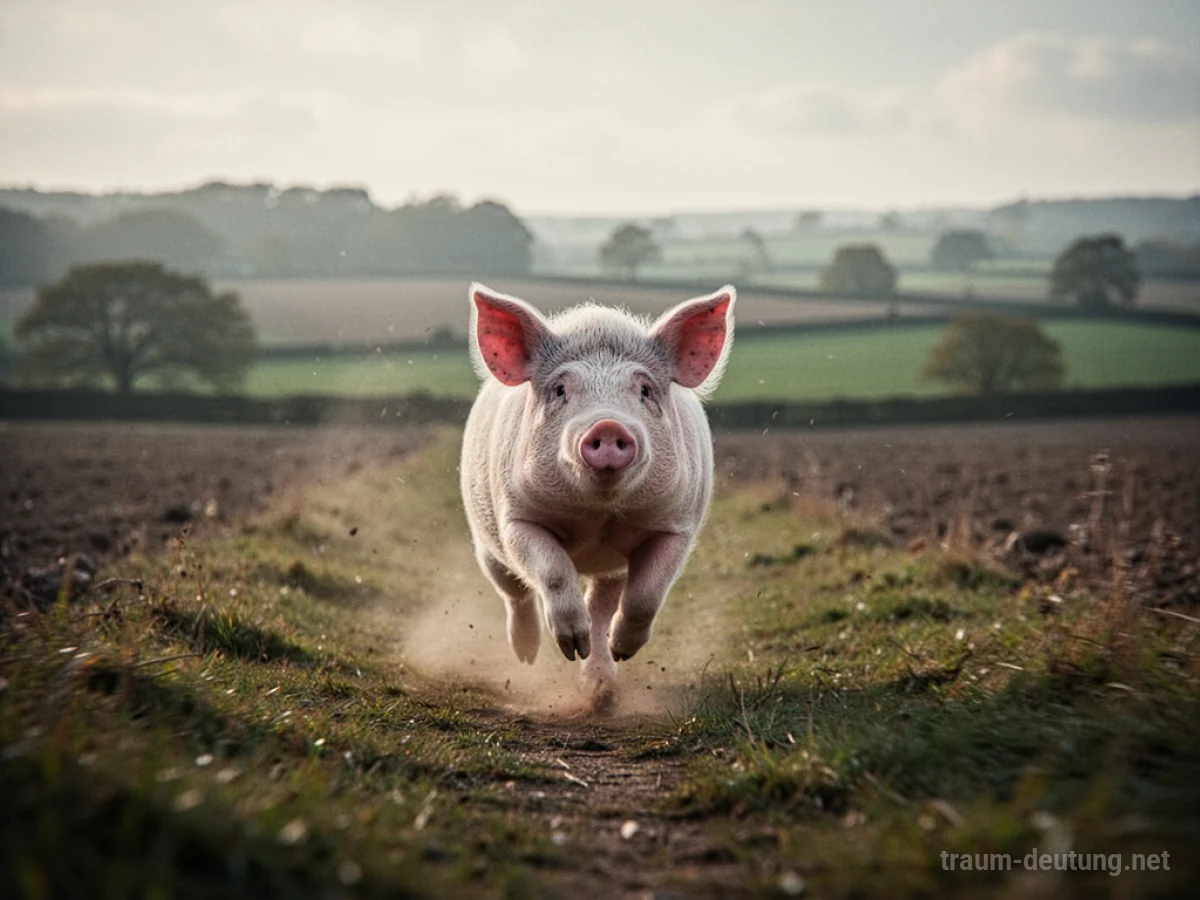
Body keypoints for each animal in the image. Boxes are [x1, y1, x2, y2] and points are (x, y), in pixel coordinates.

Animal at [460, 282, 736, 693]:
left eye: (645, 389)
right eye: (560, 389)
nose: (607, 425)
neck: (598, 513)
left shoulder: (676, 525)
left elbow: (647, 595)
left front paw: (622, 652)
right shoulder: (518, 518)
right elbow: (554, 570)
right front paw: (570, 647)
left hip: (613, 567)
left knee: (602, 605)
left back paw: (601, 678)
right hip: (486, 544)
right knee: (513, 590)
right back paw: (528, 655)